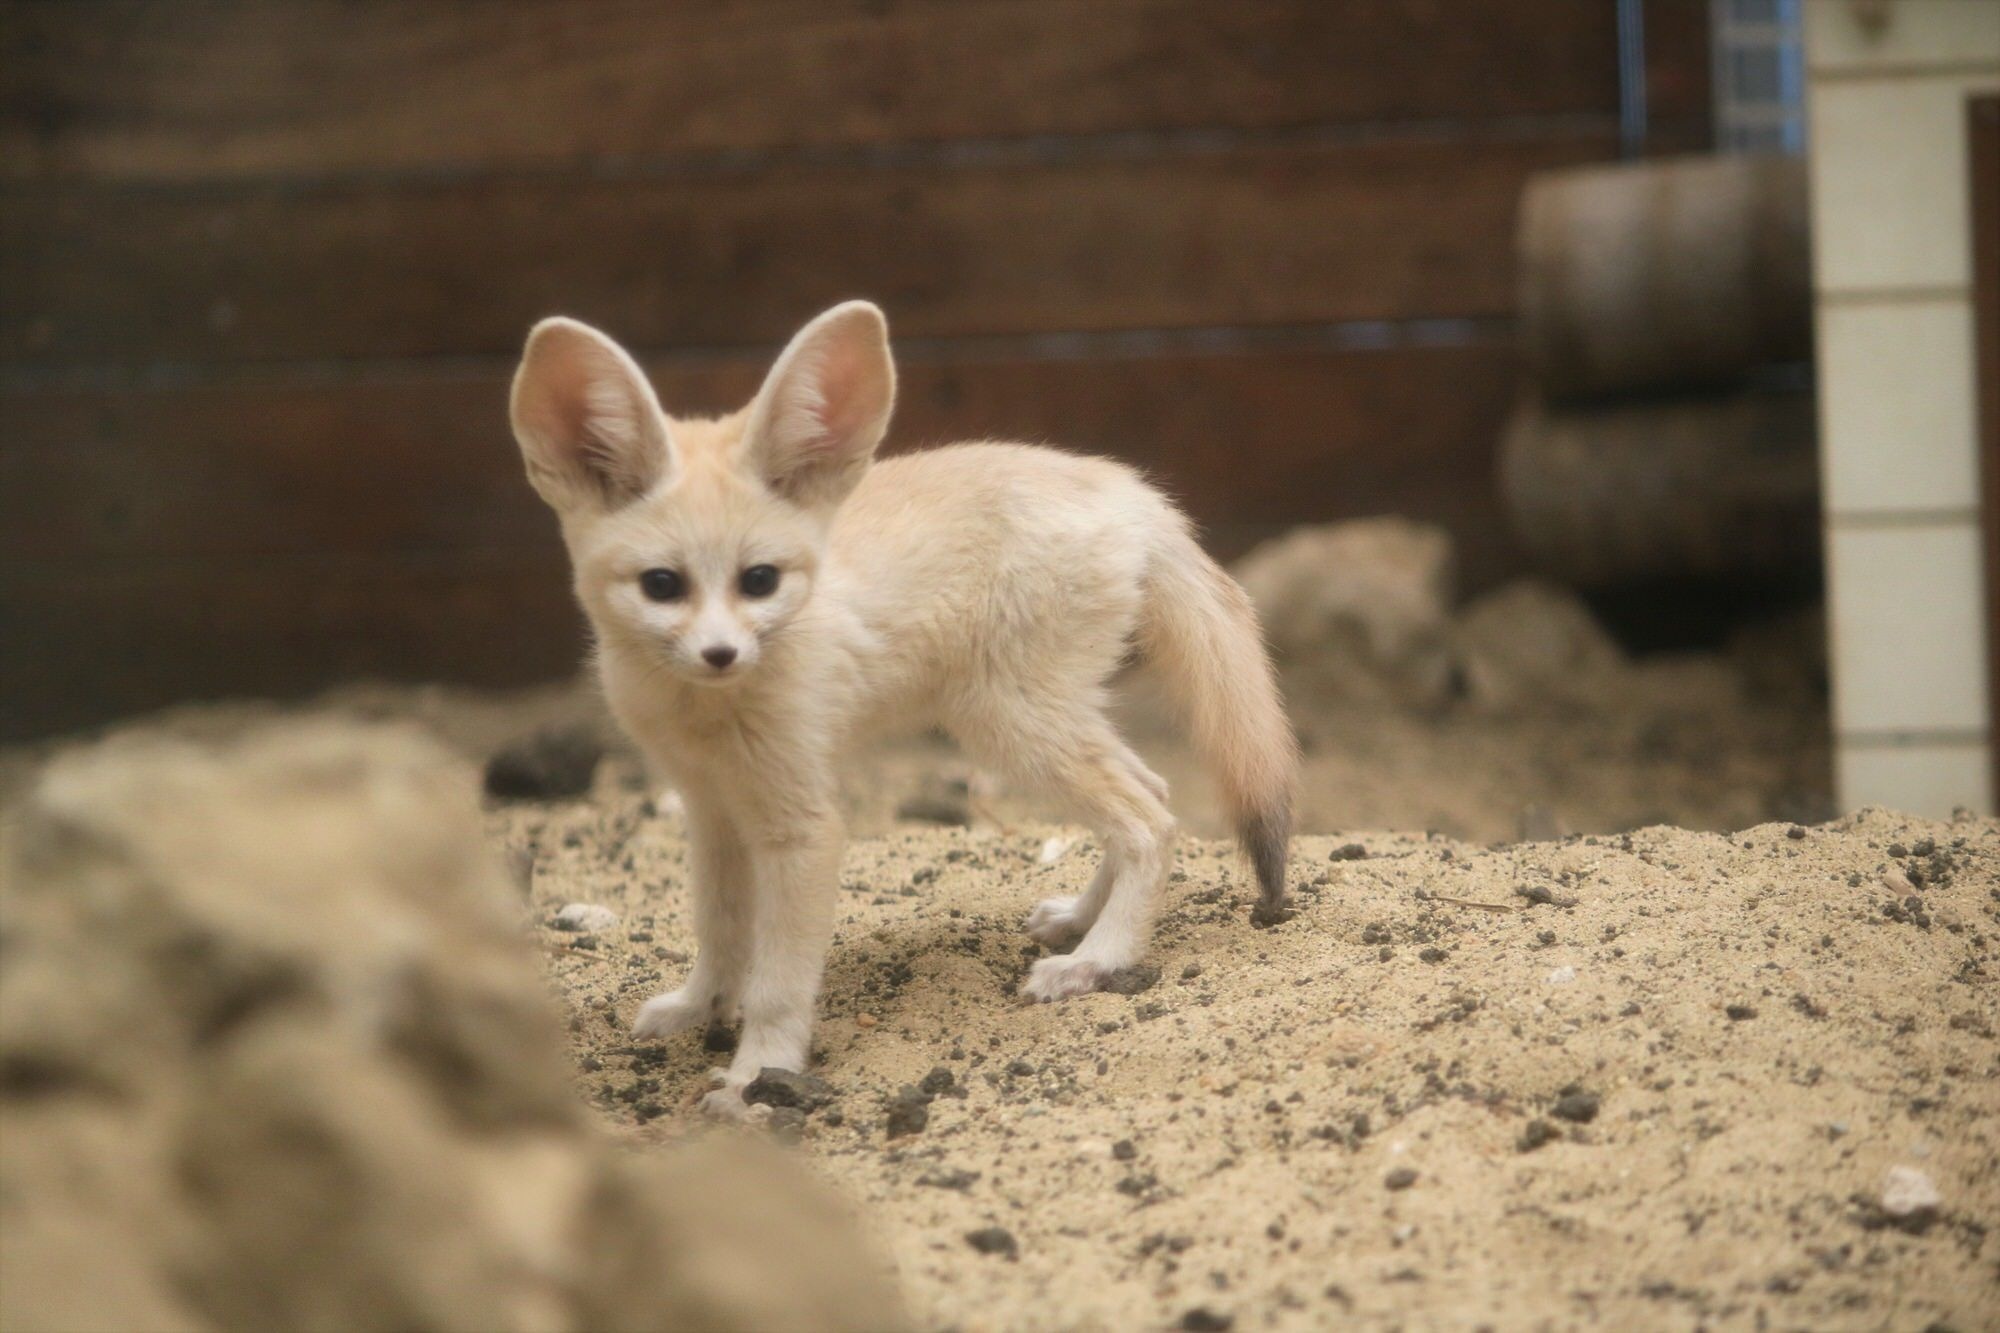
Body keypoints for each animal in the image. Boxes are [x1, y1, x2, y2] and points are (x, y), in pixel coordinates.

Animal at [512, 300, 1296, 1112]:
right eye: (661, 585)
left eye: (760, 580)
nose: (721, 655)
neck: (702, 713)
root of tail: (1131, 490)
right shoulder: (711, 808)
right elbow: (720, 930)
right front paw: (700, 1006)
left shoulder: (805, 826)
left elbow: (778, 982)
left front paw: (757, 1077)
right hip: (1045, 719)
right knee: (1156, 792)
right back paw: (1079, 922)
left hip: (1012, 726)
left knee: (1149, 820)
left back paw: (1096, 960)